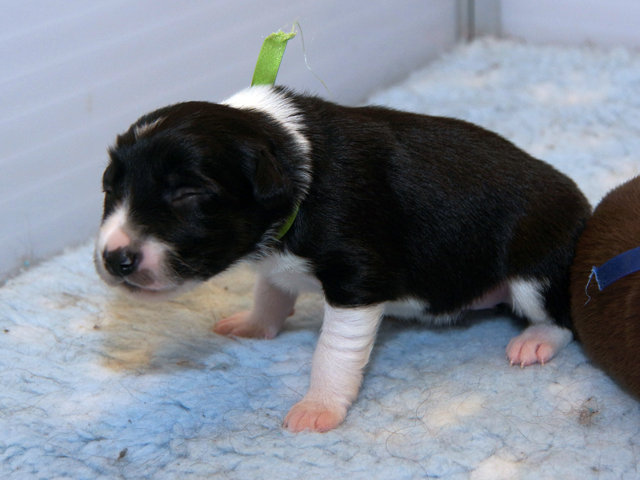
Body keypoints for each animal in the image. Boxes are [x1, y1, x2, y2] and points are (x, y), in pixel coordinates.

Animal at [95, 85, 591, 432]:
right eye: (109, 186)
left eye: (188, 192)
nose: (115, 259)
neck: (289, 152)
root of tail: (583, 208)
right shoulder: (278, 260)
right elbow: (270, 289)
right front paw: (255, 324)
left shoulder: (358, 278)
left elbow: (333, 351)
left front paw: (318, 408)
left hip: (534, 264)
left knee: (561, 316)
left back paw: (535, 341)